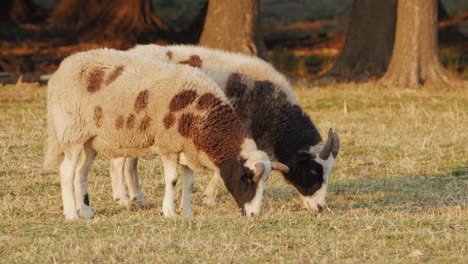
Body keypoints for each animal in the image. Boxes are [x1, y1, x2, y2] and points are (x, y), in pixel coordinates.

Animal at [44, 48, 288, 220]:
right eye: (247, 179)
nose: (254, 215)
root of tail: (63, 66)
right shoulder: (168, 144)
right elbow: (172, 180)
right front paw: (169, 212)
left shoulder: (188, 148)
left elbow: (189, 181)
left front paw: (186, 211)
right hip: (71, 132)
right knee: (67, 172)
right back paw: (71, 214)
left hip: (89, 140)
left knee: (81, 172)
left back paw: (85, 211)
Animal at [115, 44, 340, 211]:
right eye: (313, 171)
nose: (320, 208)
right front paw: (209, 198)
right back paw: (124, 199)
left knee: (131, 161)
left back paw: (137, 197)